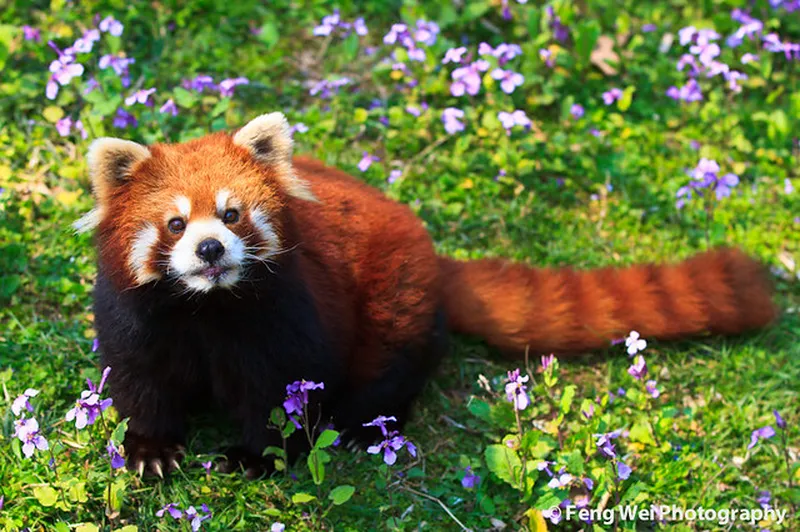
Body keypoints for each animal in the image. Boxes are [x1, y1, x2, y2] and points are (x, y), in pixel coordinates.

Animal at [78, 112, 780, 478]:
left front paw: (258, 456)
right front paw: (151, 449)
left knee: (388, 367)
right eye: (176, 223)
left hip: (394, 299)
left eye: (231, 215)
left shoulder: (286, 316)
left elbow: (282, 392)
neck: (207, 308)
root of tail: (432, 252)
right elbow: (140, 380)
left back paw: (365, 426)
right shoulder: (138, 317)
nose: (209, 250)